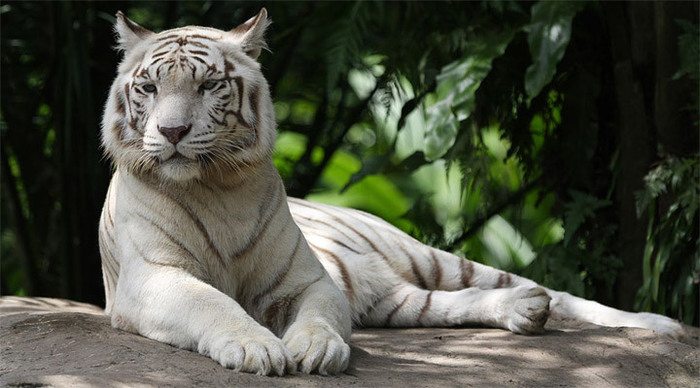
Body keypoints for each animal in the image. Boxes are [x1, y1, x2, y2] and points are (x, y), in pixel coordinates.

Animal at [101, 9, 688, 378]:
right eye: (149, 88)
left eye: (208, 86)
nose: (173, 132)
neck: (217, 185)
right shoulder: (152, 277)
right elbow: (213, 303)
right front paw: (254, 346)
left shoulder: (308, 280)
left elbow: (317, 317)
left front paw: (316, 349)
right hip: (390, 299)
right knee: (442, 306)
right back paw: (524, 311)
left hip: (424, 256)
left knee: (547, 291)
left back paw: (656, 324)